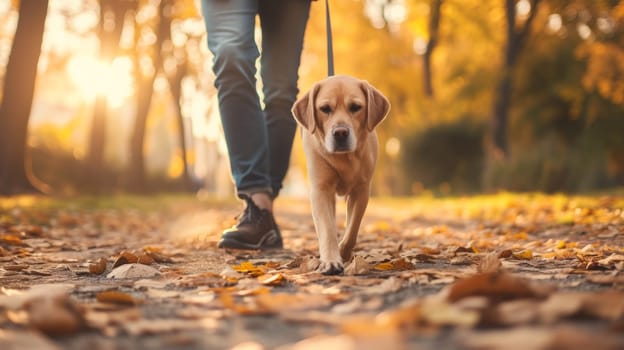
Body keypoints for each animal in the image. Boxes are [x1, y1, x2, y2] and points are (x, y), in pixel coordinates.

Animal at [292, 75, 390, 274]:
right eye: (325, 109)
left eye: (355, 107)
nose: (340, 133)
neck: (345, 159)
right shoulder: (321, 190)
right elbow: (327, 229)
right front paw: (331, 260)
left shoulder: (361, 191)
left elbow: (352, 229)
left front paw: (343, 252)